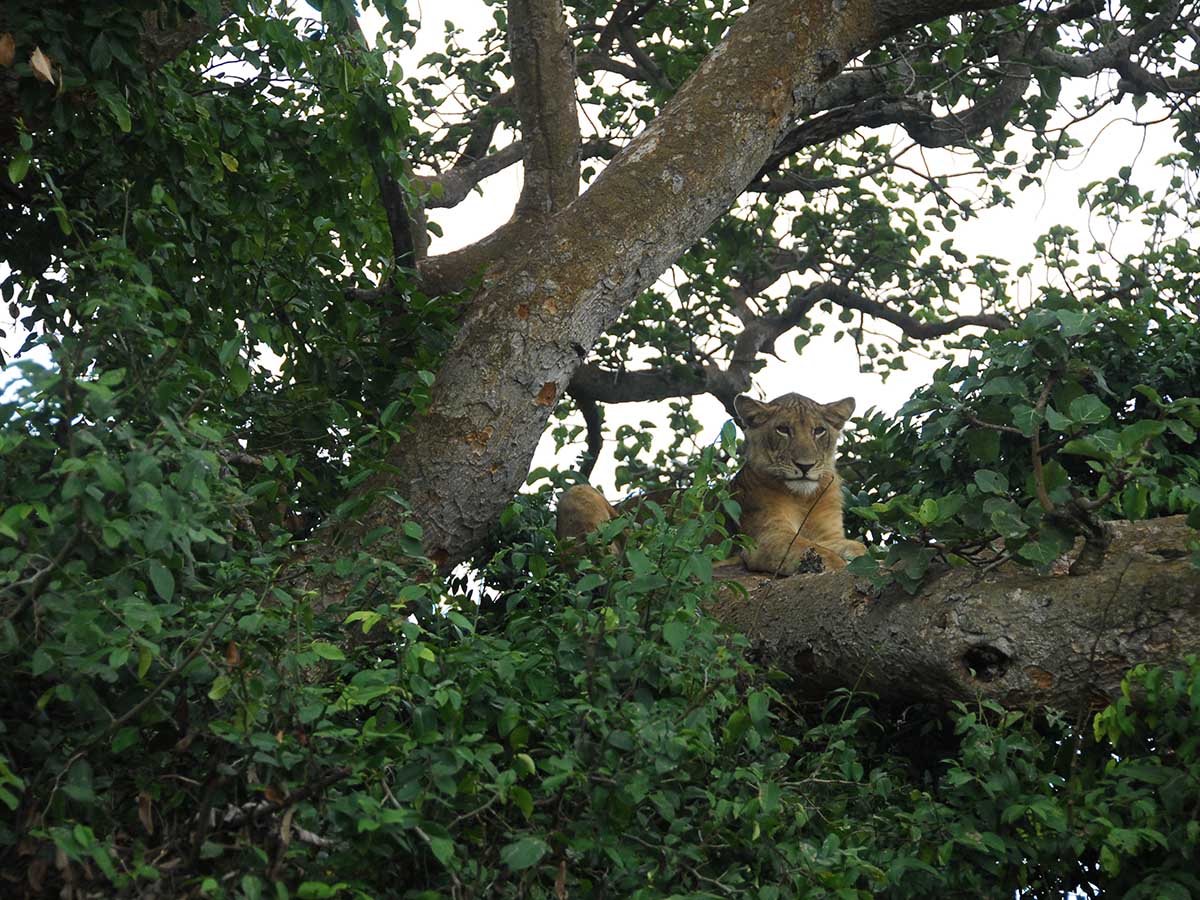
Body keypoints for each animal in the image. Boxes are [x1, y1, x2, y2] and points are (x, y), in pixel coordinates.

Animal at [556, 391, 868, 573]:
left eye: (819, 431)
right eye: (783, 430)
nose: (805, 466)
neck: (803, 496)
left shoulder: (829, 533)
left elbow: (855, 546)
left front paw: (853, 554)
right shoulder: (765, 539)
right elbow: (808, 547)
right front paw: (833, 564)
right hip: (579, 493)